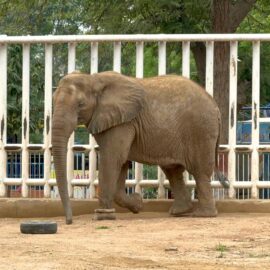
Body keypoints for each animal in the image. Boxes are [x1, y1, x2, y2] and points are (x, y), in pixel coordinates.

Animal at [51, 70, 228, 225]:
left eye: (80, 104)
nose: (69, 222)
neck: (93, 79)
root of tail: (215, 106)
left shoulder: (122, 122)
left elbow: (113, 158)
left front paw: (103, 217)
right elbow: (121, 163)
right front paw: (137, 204)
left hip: (201, 130)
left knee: (200, 171)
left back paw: (203, 215)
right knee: (173, 170)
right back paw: (179, 212)